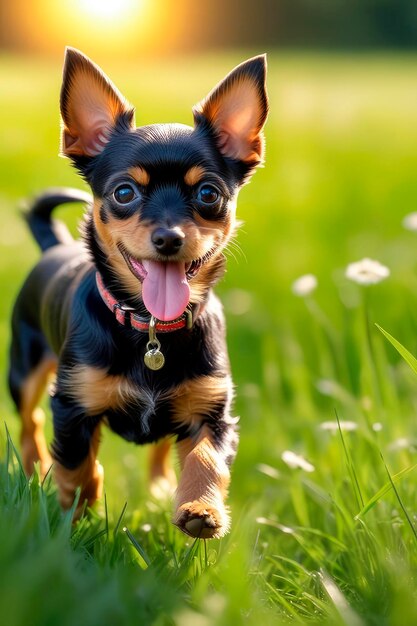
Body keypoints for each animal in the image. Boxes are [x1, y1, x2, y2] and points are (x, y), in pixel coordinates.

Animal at [9, 47, 268, 536]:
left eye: (209, 194)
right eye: (125, 192)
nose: (168, 237)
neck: (150, 325)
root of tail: (54, 245)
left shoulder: (213, 411)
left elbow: (206, 459)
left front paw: (200, 509)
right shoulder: (73, 406)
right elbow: (78, 466)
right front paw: (75, 517)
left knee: (163, 444)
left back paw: (163, 486)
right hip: (24, 370)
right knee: (29, 421)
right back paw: (35, 468)